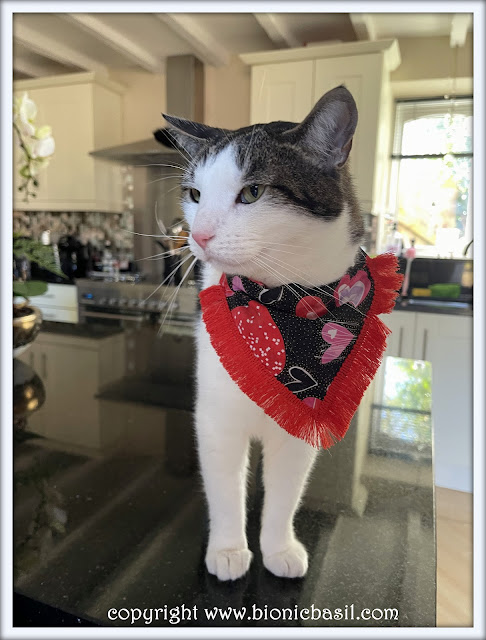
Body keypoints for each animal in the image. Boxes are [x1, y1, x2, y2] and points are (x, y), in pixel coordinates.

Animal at [159, 84, 364, 580]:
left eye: (252, 193)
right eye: (195, 194)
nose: (197, 236)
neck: (278, 301)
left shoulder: (300, 423)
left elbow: (285, 492)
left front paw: (279, 548)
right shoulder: (216, 418)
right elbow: (224, 488)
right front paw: (229, 549)